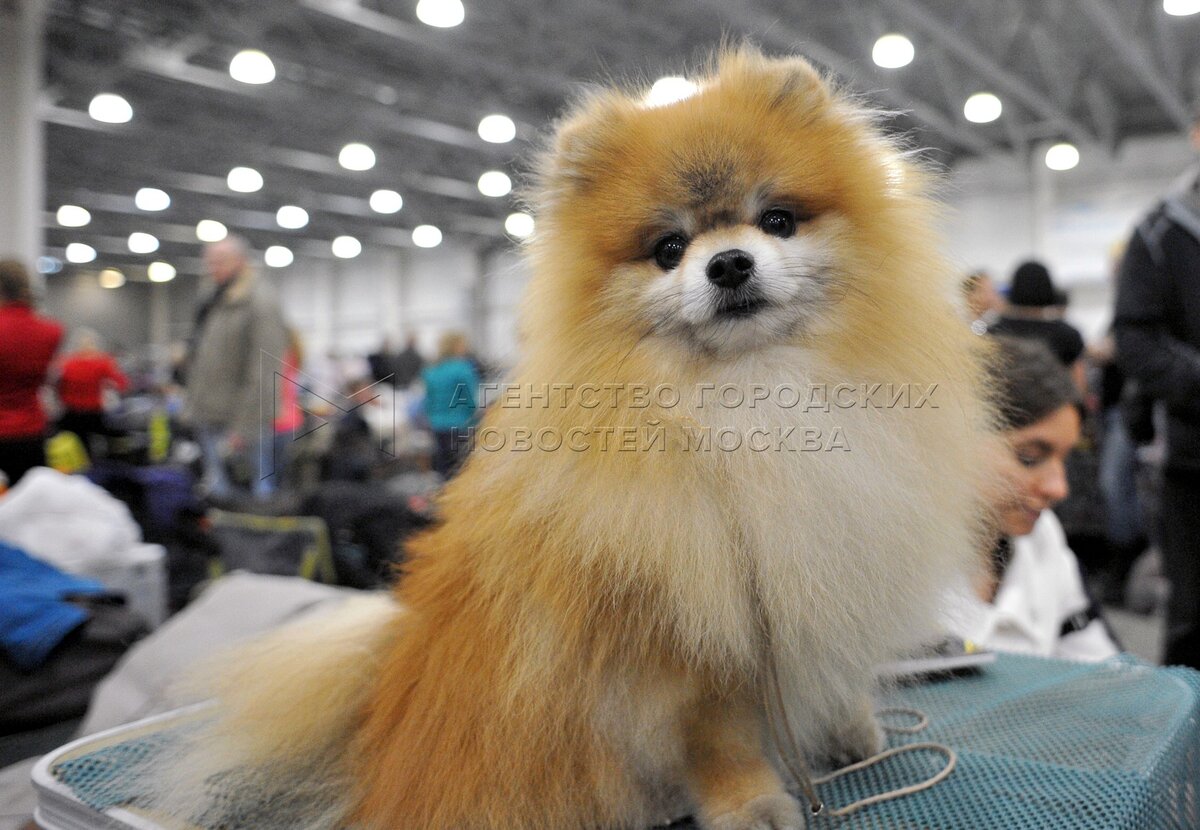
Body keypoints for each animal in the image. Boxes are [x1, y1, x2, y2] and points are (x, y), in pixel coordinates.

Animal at [147, 47, 993, 830]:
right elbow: (716, 736)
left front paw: (851, 728)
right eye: (668, 248)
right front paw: (750, 803)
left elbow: (837, 667)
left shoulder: (828, 556)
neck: (750, 394)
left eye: (777, 220)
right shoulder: (681, 635)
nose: (727, 263)